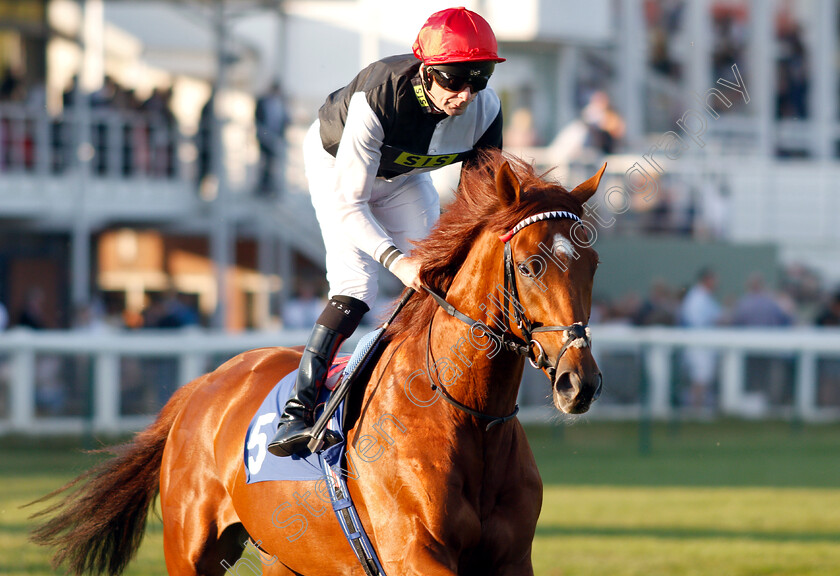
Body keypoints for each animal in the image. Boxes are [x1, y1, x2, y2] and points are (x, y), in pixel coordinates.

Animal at [31, 151, 604, 572]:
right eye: (529, 266)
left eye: (592, 262)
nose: (580, 383)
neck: (467, 415)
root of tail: (205, 383)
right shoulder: (416, 556)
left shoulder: (511, 560)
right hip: (191, 548)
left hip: (288, 558)